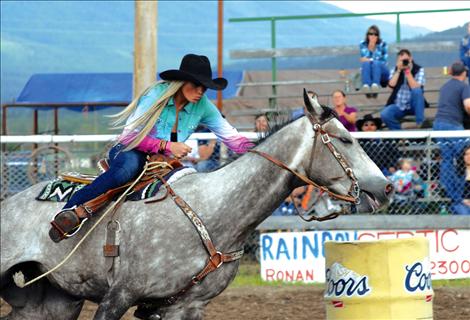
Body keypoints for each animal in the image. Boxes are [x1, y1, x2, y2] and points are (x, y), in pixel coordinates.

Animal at [0, 90, 392, 320]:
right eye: (344, 139)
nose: (386, 186)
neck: (214, 211)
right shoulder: (118, 296)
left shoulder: (186, 307)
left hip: (53, 301)